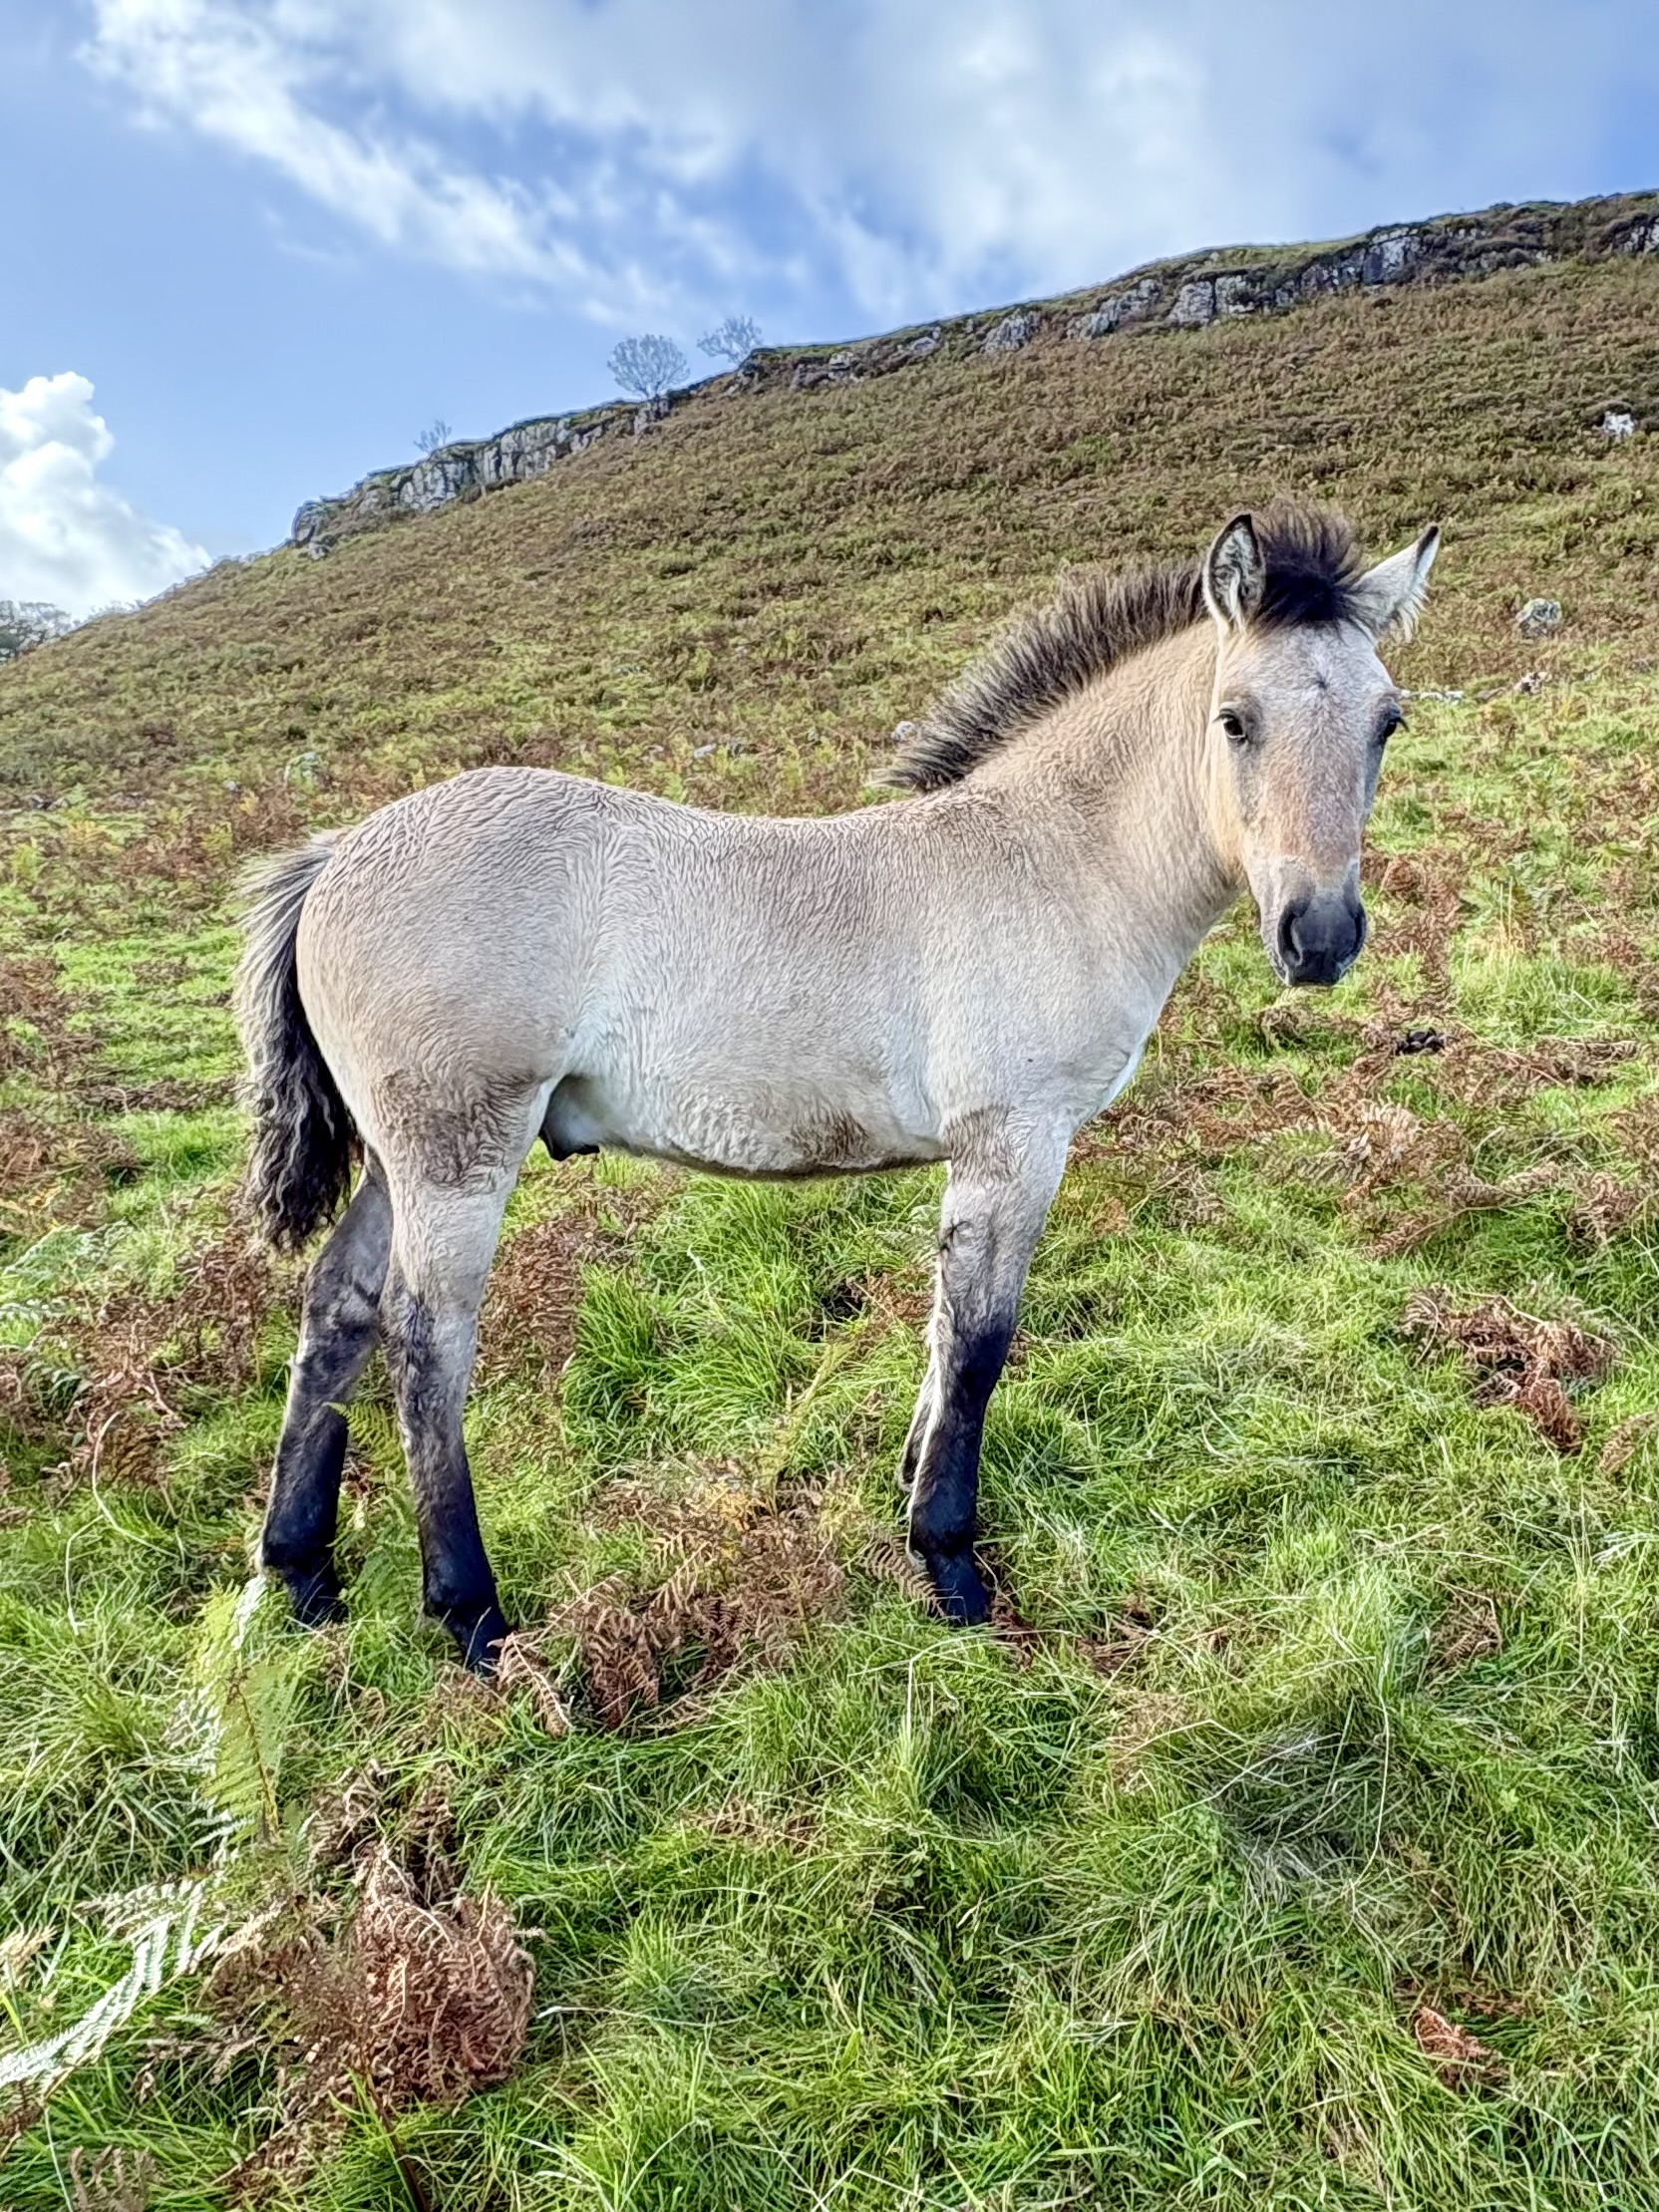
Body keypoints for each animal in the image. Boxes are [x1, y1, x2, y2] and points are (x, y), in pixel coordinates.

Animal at [235, 502, 1439, 1668]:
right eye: (1235, 718)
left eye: (1386, 721)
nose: (1320, 937)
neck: (1050, 861)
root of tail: (337, 854)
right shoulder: (1016, 1140)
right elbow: (981, 1341)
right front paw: (950, 1565)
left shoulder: (977, 1156)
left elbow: (943, 1328)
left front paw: (908, 1494)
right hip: (457, 1153)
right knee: (424, 1342)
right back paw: (472, 1616)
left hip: (400, 1157)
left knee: (338, 1306)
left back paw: (299, 1576)